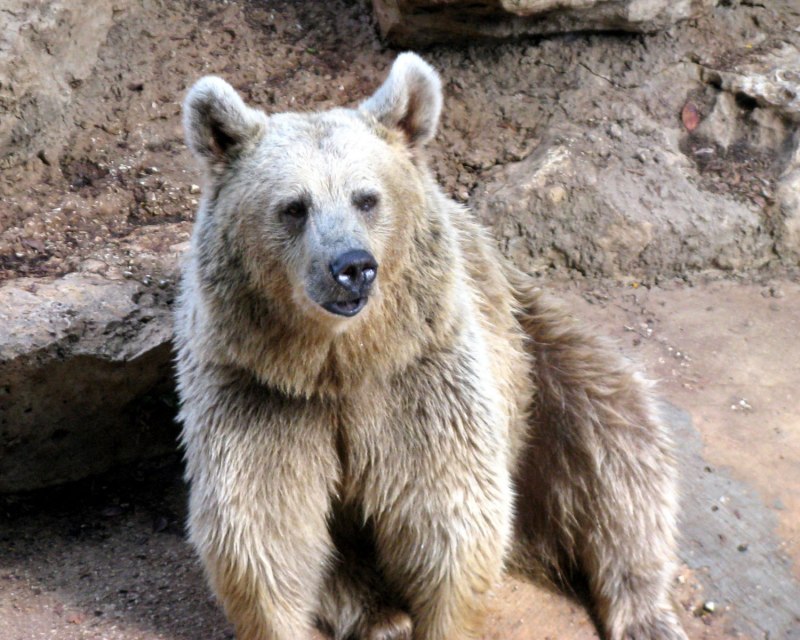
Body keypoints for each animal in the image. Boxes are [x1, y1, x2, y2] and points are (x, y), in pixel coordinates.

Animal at [175, 53, 687, 640]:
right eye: (294, 207)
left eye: (366, 198)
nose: (352, 267)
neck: (339, 363)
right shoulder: (257, 392)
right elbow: (262, 527)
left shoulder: (421, 375)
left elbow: (447, 514)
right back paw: (379, 614)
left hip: (535, 350)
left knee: (618, 442)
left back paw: (645, 611)